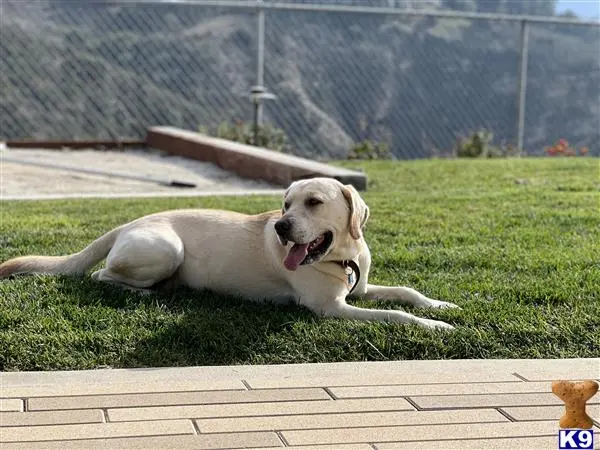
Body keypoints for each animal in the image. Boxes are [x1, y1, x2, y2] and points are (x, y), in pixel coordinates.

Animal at [1, 178, 460, 328]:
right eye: (285, 204)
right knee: (102, 277)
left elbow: (406, 292)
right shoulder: (332, 308)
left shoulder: (359, 291)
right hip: (166, 247)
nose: (280, 226)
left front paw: (443, 306)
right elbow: (396, 313)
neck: (342, 256)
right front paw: (435, 326)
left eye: (312, 202)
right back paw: (150, 293)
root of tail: (129, 222)